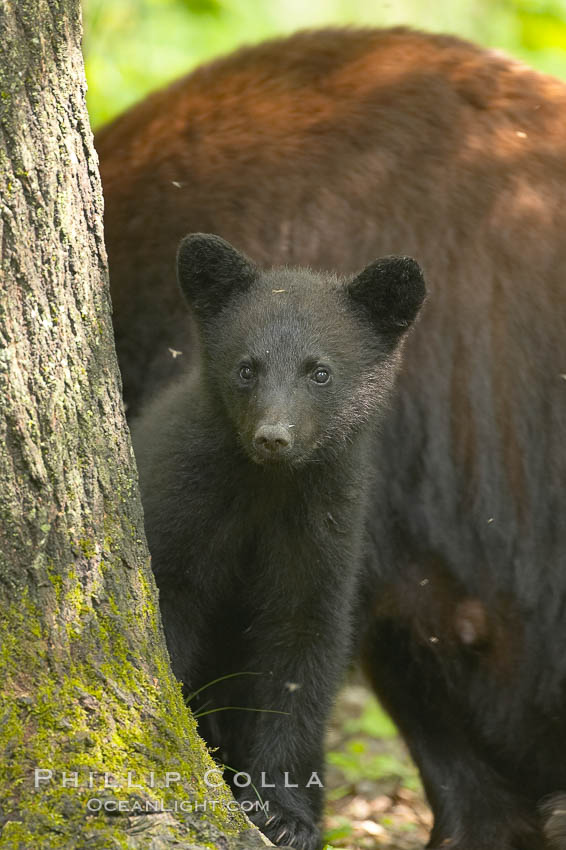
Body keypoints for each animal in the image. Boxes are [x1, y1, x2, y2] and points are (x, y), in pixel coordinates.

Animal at [131, 233, 427, 850]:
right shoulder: (183, 506)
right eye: (247, 368)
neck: (268, 486)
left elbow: (302, 646)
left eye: (320, 372)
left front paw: (285, 813)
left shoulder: (324, 526)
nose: (274, 437)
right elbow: (169, 611)